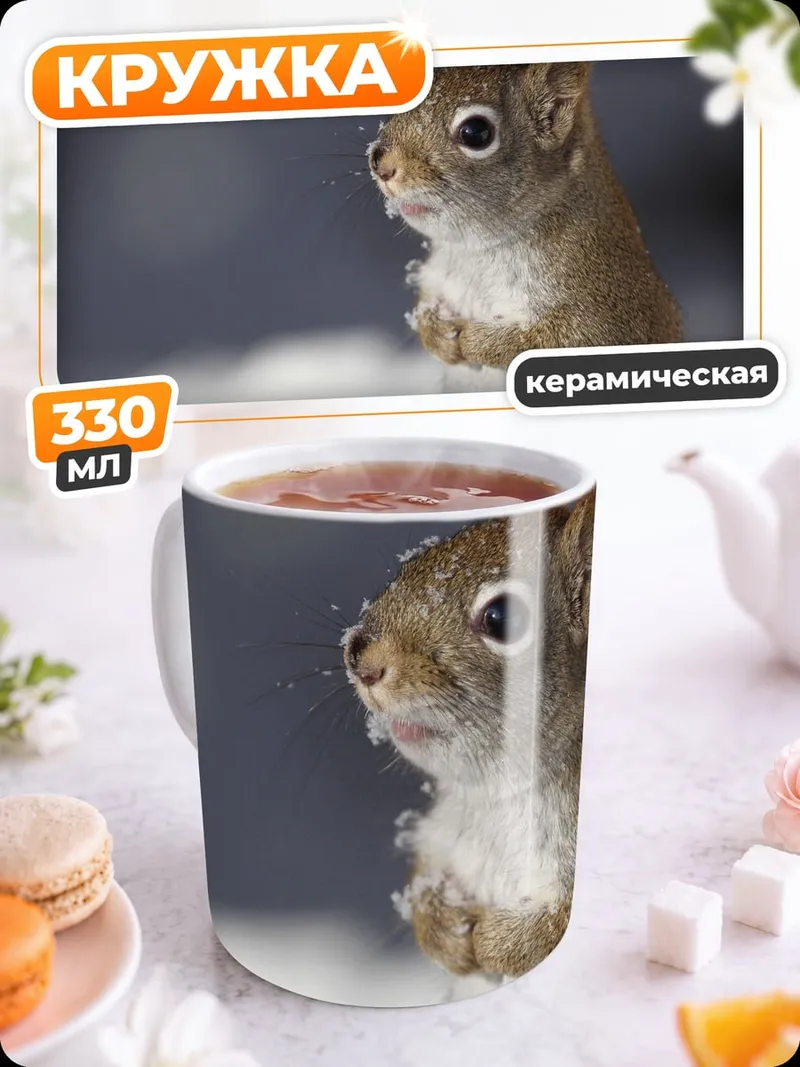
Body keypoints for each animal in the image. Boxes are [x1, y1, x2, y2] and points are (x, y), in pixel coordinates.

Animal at [344, 491, 594, 978]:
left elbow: (554, 926)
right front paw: (448, 934)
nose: (359, 658)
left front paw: (493, 942)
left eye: (502, 619)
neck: (496, 799)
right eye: (412, 562)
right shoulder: (441, 836)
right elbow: (423, 885)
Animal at [368, 63, 683, 392]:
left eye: (476, 132)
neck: (476, 251)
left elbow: (551, 341)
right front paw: (436, 333)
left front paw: (473, 341)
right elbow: (426, 302)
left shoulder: (601, 309)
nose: (379, 162)